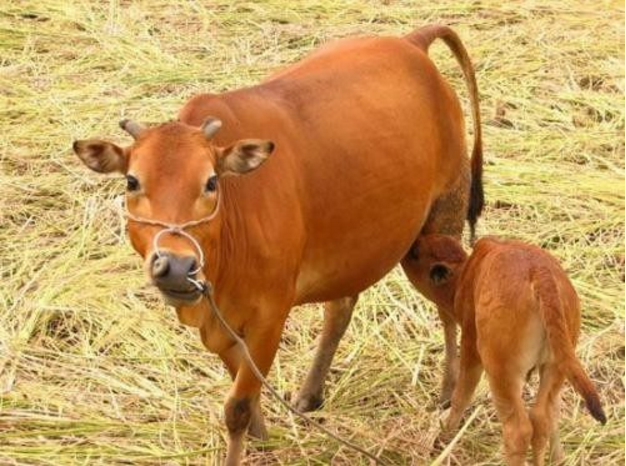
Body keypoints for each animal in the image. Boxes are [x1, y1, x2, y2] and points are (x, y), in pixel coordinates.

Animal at [73, 24, 482, 462]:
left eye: (211, 182)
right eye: (132, 181)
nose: (178, 266)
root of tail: (411, 42)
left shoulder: (270, 315)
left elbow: (237, 404)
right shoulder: (221, 322)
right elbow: (243, 387)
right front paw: (262, 434)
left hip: (443, 219)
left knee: (447, 311)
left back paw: (447, 395)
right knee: (341, 306)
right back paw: (310, 394)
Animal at [404, 237, 604, 466]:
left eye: (416, 254)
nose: (410, 246)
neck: (465, 276)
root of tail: (539, 272)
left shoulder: (471, 345)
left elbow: (461, 395)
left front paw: (444, 436)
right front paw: (559, 457)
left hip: (502, 372)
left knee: (518, 431)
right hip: (557, 365)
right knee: (542, 417)